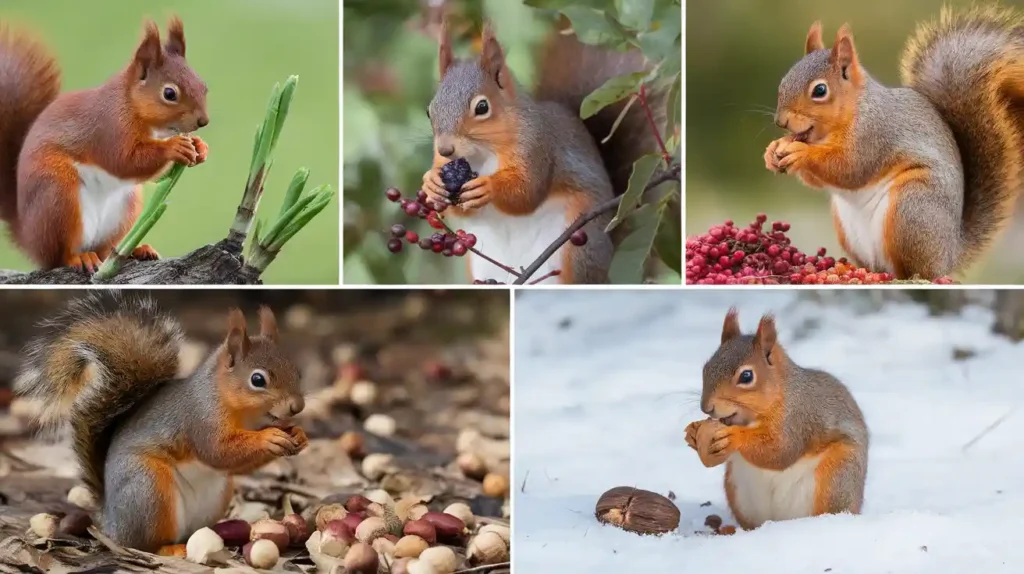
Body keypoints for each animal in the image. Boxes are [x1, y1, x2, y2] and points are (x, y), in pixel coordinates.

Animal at [0, 15, 208, 270]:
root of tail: (28, 237)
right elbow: (124, 161)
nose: (203, 121)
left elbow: (153, 175)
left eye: (203, 86)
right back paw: (79, 257)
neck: (129, 104)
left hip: (125, 208)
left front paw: (199, 146)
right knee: (61, 254)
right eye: (169, 94)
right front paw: (174, 147)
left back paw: (135, 250)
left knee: (107, 249)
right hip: (58, 196)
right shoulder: (109, 129)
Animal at [12, 292, 307, 552]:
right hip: (149, 490)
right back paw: (171, 550)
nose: (298, 407)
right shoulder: (200, 418)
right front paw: (269, 438)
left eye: (296, 371)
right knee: (143, 544)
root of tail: (110, 522)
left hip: (216, 495)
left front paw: (299, 435)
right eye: (258, 380)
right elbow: (218, 451)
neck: (244, 413)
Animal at [419, 20, 659, 284]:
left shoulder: (537, 145)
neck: (481, 153)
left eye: (482, 107)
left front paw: (488, 186)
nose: (446, 148)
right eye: (430, 110)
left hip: (579, 249)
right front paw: (431, 183)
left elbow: (528, 191)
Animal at [684, 308, 868, 527]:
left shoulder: (798, 418)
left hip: (837, 477)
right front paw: (693, 433)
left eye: (746, 376)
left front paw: (735, 436)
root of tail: (781, 521)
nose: (706, 407)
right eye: (706, 368)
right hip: (737, 491)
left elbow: (780, 450)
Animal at [765, 6, 1024, 280]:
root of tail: (950, 253)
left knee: (915, 270)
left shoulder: (875, 133)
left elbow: (850, 168)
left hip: (911, 209)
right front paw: (772, 151)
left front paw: (799, 152)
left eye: (820, 90)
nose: (781, 121)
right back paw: (853, 269)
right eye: (784, 81)